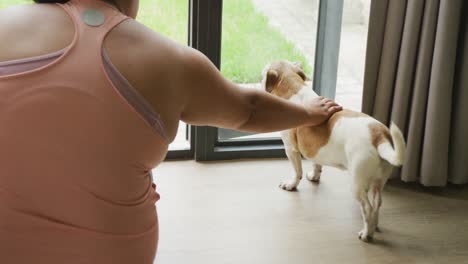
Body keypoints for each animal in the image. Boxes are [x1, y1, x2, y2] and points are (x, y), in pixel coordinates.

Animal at [262, 60, 408, 242]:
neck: (295, 88)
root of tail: (378, 135)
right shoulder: (316, 151)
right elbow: (316, 164)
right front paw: (314, 176)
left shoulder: (291, 150)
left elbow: (297, 172)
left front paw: (291, 185)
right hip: (378, 182)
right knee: (376, 204)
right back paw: (374, 227)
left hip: (357, 184)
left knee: (367, 208)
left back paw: (366, 233)